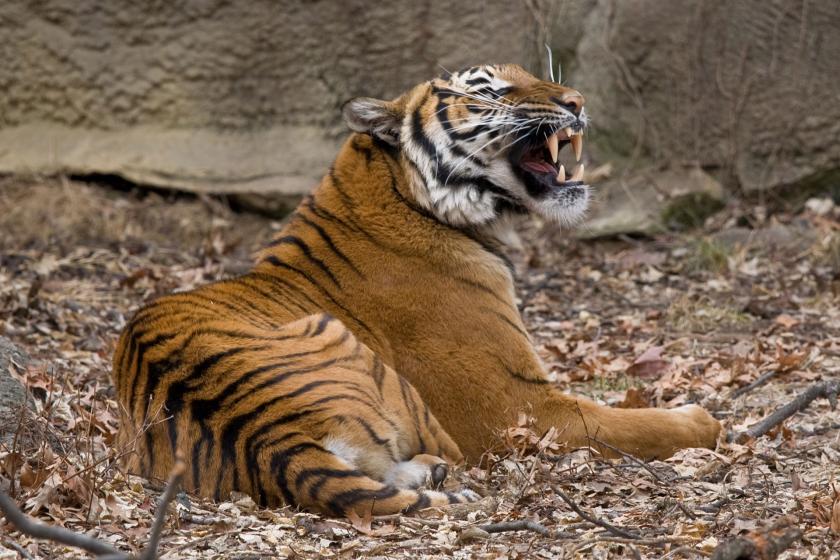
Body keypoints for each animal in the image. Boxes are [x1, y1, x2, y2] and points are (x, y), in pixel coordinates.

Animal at [111, 63, 720, 520]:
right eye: (490, 90)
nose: (576, 100)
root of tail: (268, 435)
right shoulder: (517, 405)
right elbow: (629, 423)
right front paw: (702, 420)